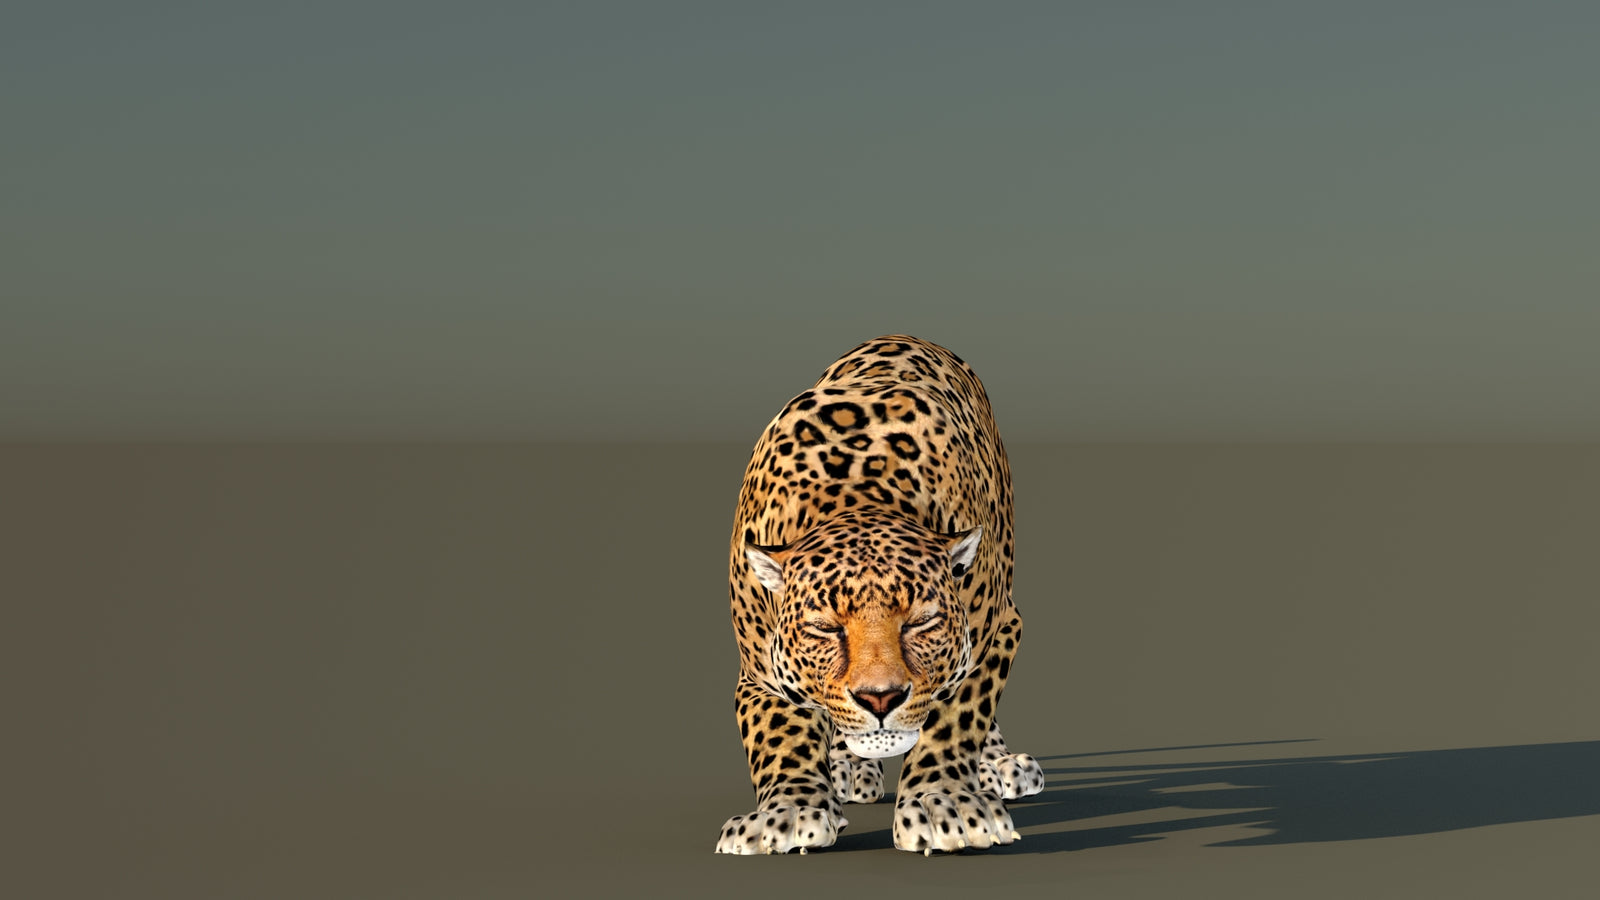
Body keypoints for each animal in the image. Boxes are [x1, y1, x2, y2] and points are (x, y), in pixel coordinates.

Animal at [715, 335, 1045, 856]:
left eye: (921, 622)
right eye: (825, 629)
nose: (881, 698)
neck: (856, 500)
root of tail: (909, 335)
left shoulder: (998, 632)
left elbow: (957, 714)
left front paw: (944, 804)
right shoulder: (759, 674)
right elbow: (780, 736)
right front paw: (788, 812)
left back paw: (998, 766)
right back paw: (847, 768)